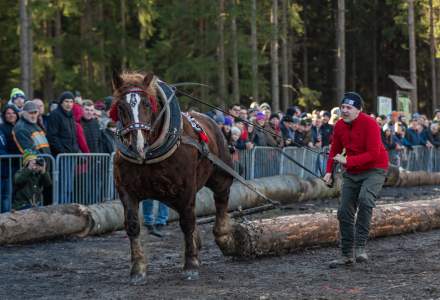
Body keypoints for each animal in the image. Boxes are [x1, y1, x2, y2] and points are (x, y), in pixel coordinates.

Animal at [111, 71, 235, 284]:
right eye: (121, 106)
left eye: (146, 104)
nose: (137, 144)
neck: (149, 155)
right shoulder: (126, 190)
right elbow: (133, 225)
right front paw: (137, 270)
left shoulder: (186, 188)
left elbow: (187, 222)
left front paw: (191, 265)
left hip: (220, 176)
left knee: (221, 200)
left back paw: (222, 236)